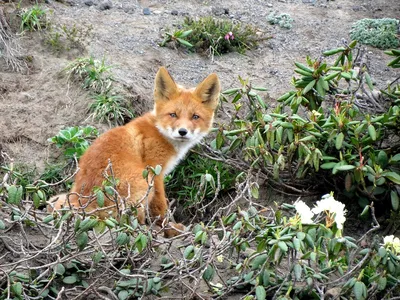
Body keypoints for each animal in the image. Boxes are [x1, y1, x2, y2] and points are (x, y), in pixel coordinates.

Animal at [50, 67, 222, 237]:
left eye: (195, 117)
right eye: (173, 114)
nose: (182, 132)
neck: (159, 131)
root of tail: (86, 200)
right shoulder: (155, 172)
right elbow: (160, 207)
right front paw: (169, 228)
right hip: (143, 183)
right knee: (129, 220)